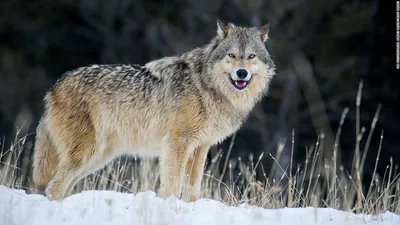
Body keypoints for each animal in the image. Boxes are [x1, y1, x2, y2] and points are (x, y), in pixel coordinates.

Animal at [32, 19, 276, 202]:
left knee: (61, 187)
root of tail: (54, 86)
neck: (207, 86)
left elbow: (192, 188)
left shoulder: (200, 147)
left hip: (96, 158)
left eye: (251, 56)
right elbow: (172, 185)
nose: (242, 73)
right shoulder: (177, 144)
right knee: (54, 187)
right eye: (232, 55)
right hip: (86, 155)